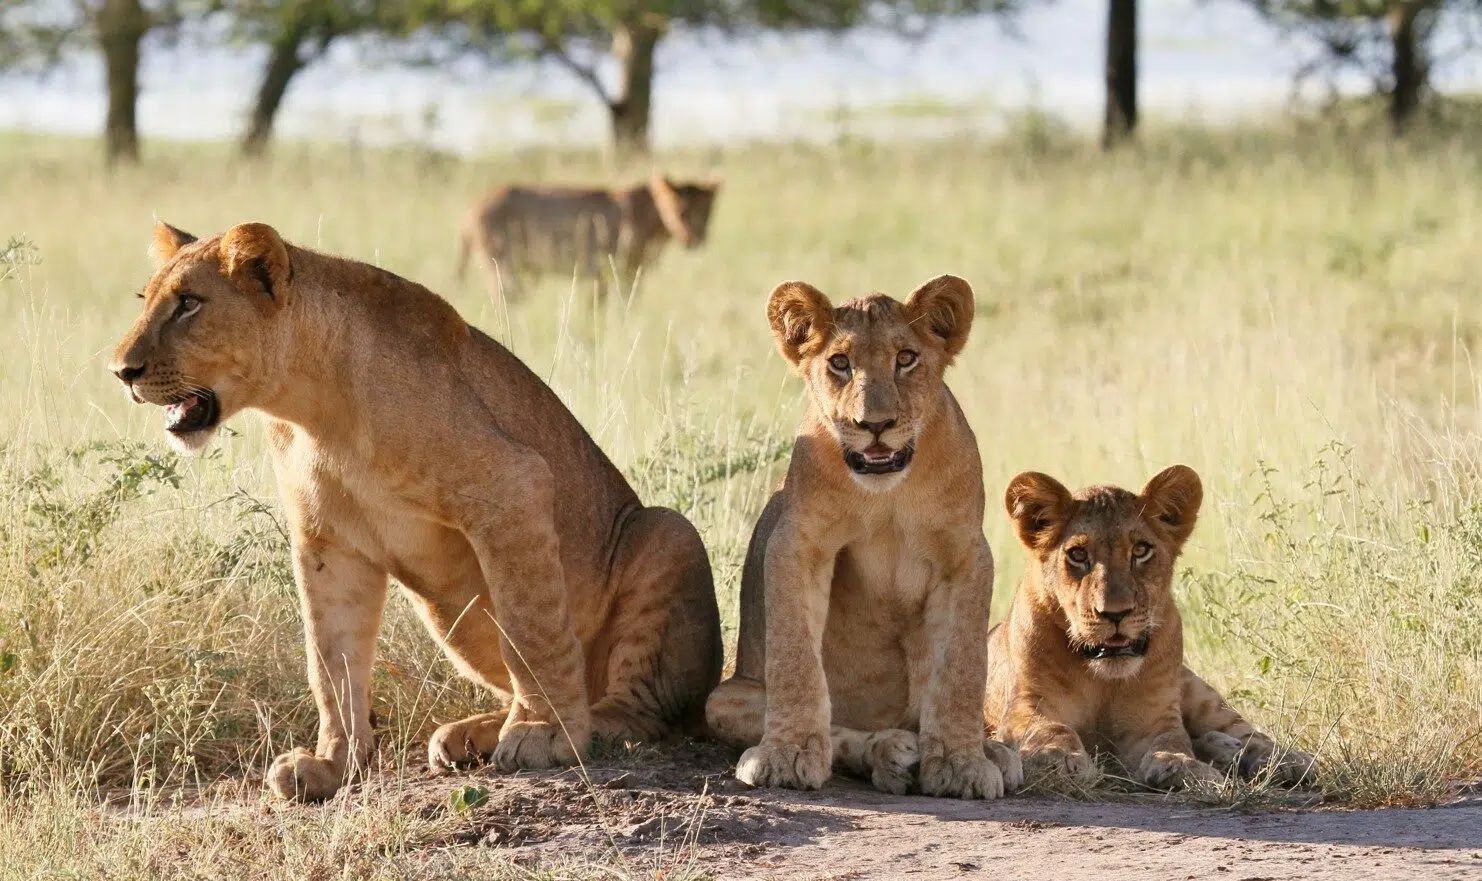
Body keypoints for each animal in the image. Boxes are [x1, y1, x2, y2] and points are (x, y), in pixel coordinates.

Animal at [109, 221, 722, 801]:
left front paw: (546, 733)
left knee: (645, 711)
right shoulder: (328, 543)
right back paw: (470, 734)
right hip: (449, 615)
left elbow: (532, 629)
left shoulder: (514, 485)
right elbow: (330, 660)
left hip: (668, 532)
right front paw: (332, 764)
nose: (121, 371)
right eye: (145, 299)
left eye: (189, 303)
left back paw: (575, 725)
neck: (311, 408)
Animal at [456, 173, 719, 298]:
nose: (694, 239)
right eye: (679, 209)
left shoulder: (630, 275)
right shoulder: (605, 272)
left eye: (706, 212)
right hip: (503, 268)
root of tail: (472, 208)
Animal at [704, 275, 1022, 799]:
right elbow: (795, 658)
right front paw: (788, 756)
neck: (887, 492)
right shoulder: (799, 542)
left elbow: (961, 667)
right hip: (724, 697)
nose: (875, 425)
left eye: (906, 358)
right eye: (840, 363)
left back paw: (990, 751)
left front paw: (961, 763)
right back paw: (890, 753)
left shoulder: (966, 554)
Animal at [987, 466, 1315, 789]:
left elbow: (1172, 740)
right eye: (1078, 555)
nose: (1115, 613)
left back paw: (1283, 761)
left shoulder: (1155, 717)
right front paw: (1058, 758)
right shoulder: (1027, 704)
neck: (1102, 680)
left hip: (1200, 692)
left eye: (1141, 550)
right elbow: (1051, 729)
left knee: (1244, 731)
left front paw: (1181, 766)